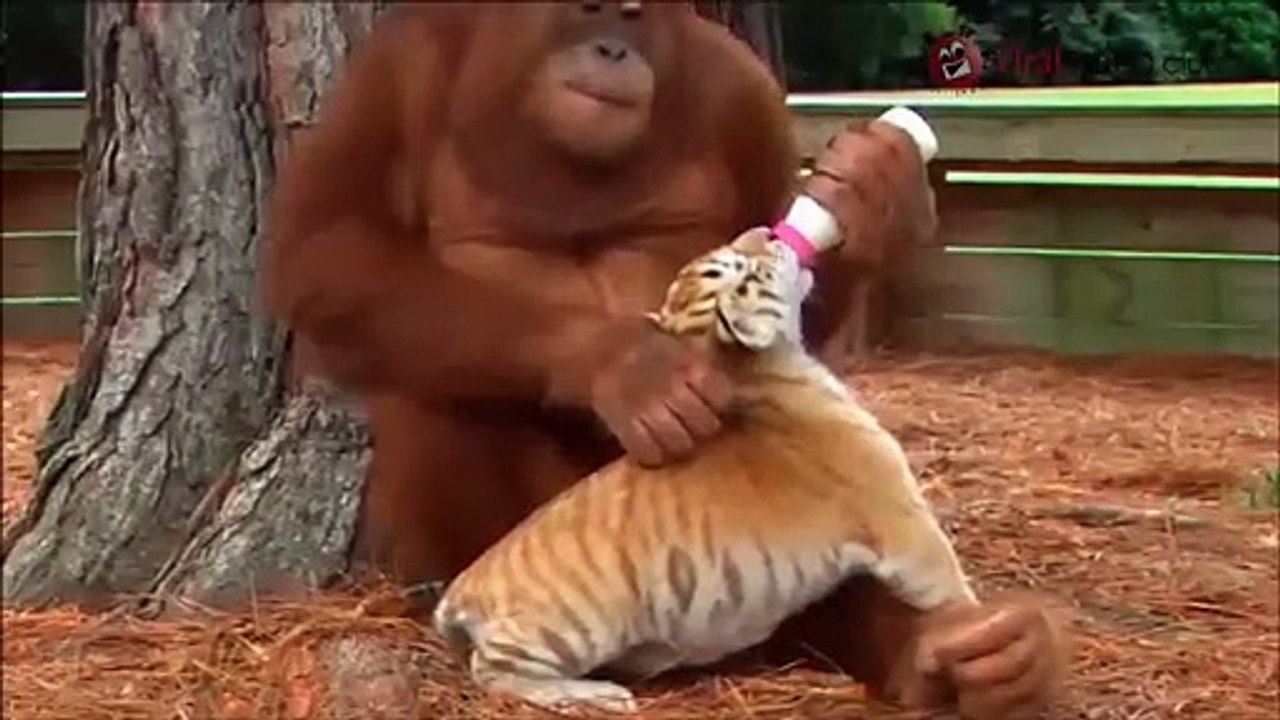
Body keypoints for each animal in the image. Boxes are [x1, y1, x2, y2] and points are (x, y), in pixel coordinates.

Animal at [432, 226, 977, 715]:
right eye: (741, 269)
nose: (767, 232)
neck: (756, 372)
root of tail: (464, 588)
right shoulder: (903, 525)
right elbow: (953, 587)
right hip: (563, 629)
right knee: (495, 673)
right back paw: (596, 695)